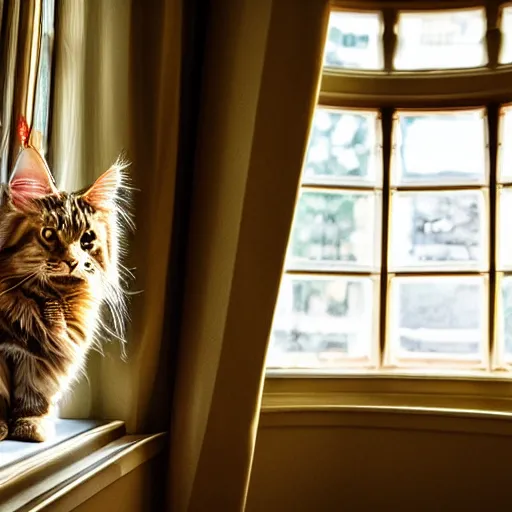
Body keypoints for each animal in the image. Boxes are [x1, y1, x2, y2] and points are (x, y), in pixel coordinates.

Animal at [0, 146, 131, 442]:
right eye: (49, 234)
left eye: (87, 240)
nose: (73, 261)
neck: (48, 298)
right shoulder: (5, 351)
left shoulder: (40, 361)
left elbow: (35, 397)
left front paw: (30, 427)